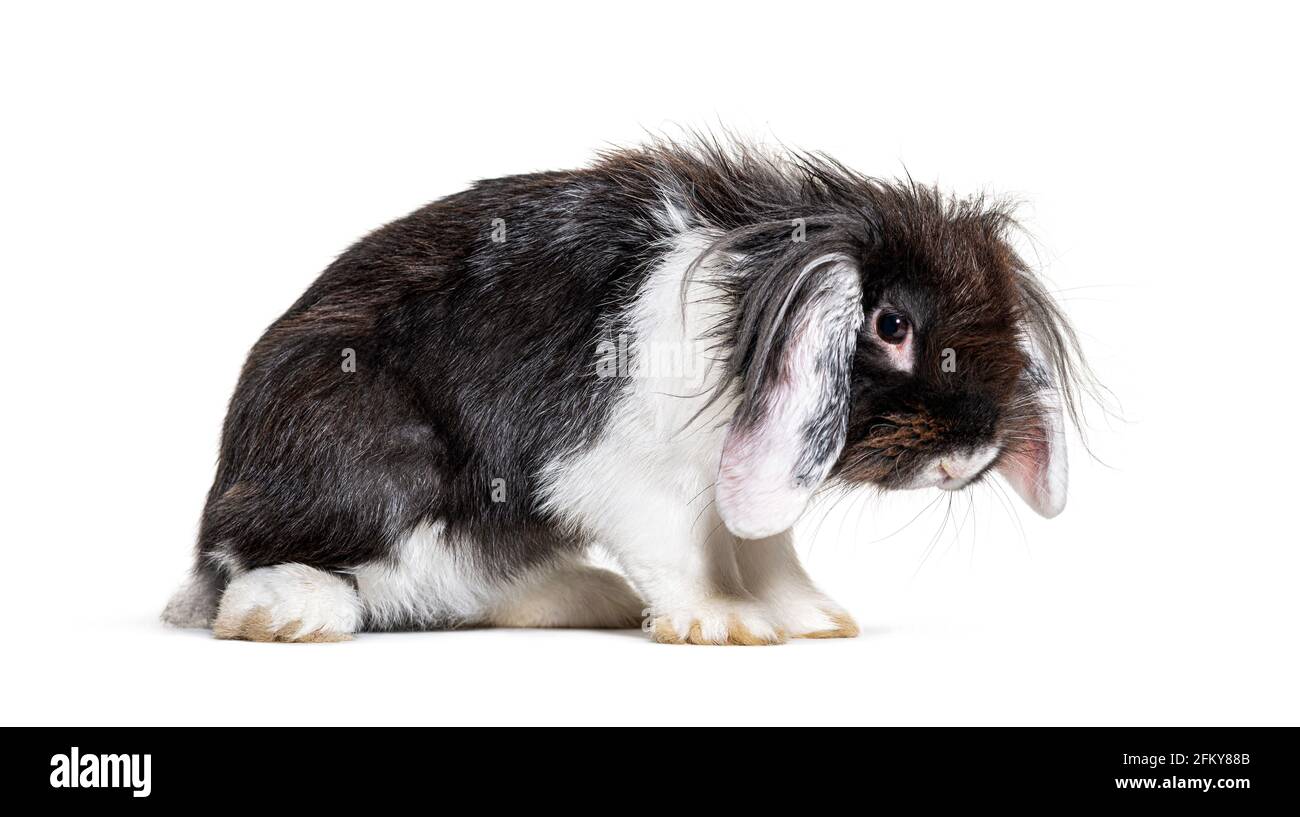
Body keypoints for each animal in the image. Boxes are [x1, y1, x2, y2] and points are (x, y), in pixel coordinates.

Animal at [165, 138, 1097, 645]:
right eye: (892, 324)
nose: (973, 452)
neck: (748, 308)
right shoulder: (625, 476)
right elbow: (683, 552)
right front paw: (724, 622)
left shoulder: (744, 475)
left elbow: (768, 548)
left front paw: (811, 615)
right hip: (365, 451)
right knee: (276, 564)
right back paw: (289, 610)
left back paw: (585, 596)